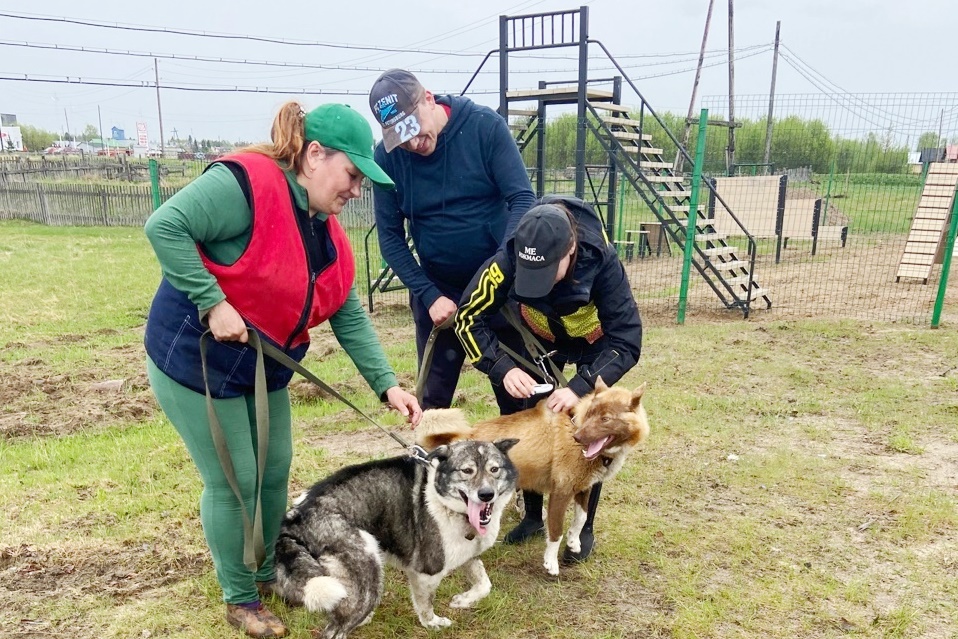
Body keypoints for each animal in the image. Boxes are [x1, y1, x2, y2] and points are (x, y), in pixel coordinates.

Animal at [274, 440, 520, 639]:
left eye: (494, 469)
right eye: (467, 471)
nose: (486, 495)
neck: (446, 503)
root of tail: (296, 517)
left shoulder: (468, 555)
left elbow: (484, 584)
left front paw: (463, 600)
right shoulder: (426, 571)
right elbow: (425, 605)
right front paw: (432, 624)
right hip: (368, 571)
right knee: (334, 631)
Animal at [416, 378, 648, 576]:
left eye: (605, 418)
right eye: (590, 413)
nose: (578, 437)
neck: (575, 421)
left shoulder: (583, 487)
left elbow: (581, 518)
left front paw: (574, 542)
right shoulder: (561, 492)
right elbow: (556, 531)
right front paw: (551, 562)